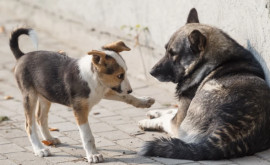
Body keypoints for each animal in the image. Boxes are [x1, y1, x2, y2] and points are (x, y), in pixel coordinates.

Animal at [9, 27, 155, 163]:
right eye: (119, 75)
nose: (130, 90)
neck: (95, 79)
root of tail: (22, 56)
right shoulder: (80, 110)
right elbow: (87, 136)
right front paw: (93, 155)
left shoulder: (104, 91)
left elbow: (126, 97)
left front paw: (144, 101)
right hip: (30, 96)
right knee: (29, 125)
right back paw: (40, 149)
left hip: (45, 94)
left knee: (40, 118)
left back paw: (49, 139)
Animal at [138, 8, 270, 160]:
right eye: (166, 50)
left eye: (173, 54)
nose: (151, 72)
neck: (207, 63)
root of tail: (227, 138)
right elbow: (171, 110)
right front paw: (155, 112)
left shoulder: (179, 120)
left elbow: (168, 117)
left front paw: (148, 121)